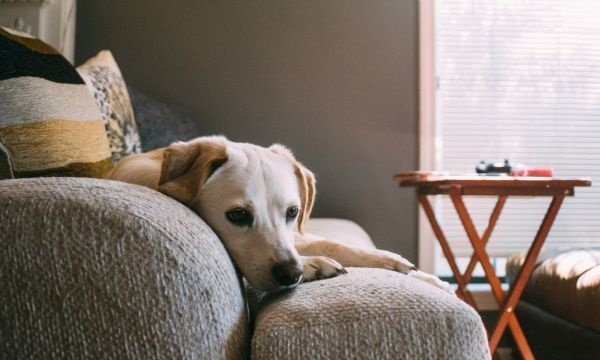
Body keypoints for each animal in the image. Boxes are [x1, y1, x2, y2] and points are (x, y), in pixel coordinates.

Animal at [111, 137, 450, 292]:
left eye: (292, 211)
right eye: (237, 215)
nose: (291, 273)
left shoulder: (296, 236)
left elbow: (335, 244)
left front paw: (393, 262)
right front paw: (313, 266)